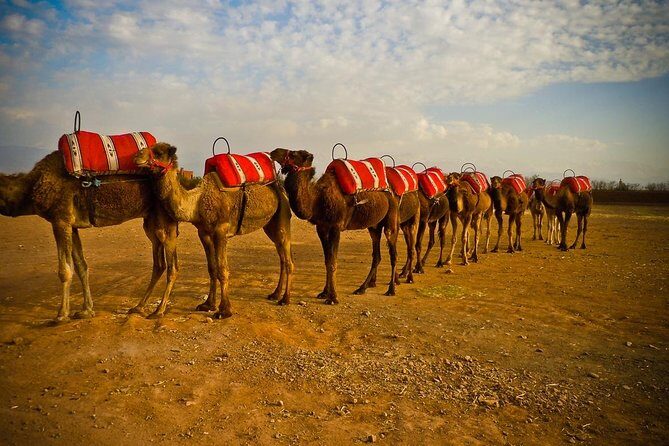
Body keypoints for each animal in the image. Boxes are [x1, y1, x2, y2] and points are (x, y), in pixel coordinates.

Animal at [0, 151, 178, 321]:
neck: (32, 187)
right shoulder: (72, 226)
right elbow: (81, 266)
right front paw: (86, 310)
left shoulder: (60, 220)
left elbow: (65, 270)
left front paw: (61, 314)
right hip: (151, 223)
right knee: (159, 264)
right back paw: (138, 307)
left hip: (164, 220)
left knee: (172, 267)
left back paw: (158, 311)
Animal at [135, 143, 294, 319]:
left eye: (159, 152)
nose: (137, 156)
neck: (197, 202)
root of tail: (279, 188)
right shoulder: (204, 233)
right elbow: (212, 269)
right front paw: (208, 304)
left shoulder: (220, 231)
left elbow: (222, 270)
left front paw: (224, 310)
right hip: (270, 225)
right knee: (281, 257)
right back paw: (275, 294)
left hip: (283, 216)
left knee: (288, 260)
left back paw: (285, 299)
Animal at [270, 148, 399, 304]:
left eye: (294, 153)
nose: (274, 151)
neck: (317, 199)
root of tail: (391, 193)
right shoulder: (321, 227)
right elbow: (327, 260)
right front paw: (324, 292)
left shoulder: (336, 227)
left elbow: (333, 262)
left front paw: (333, 297)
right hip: (374, 226)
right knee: (377, 255)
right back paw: (362, 288)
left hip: (391, 218)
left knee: (393, 253)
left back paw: (391, 289)